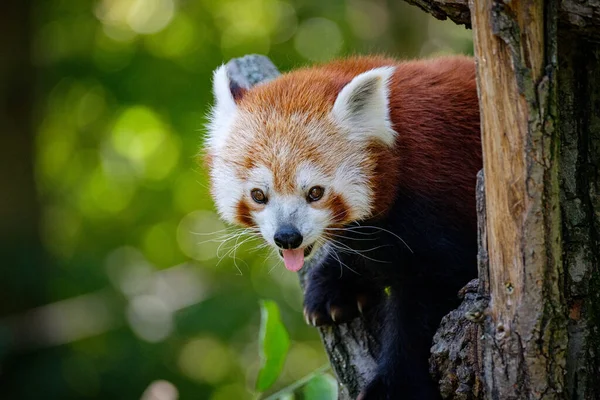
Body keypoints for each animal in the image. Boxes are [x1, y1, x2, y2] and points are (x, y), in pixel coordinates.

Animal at [204, 56, 480, 400]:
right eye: (258, 195)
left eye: (315, 192)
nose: (287, 237)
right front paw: (336, 285)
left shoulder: (438, 204)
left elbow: (425, 300)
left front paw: (396, 386)